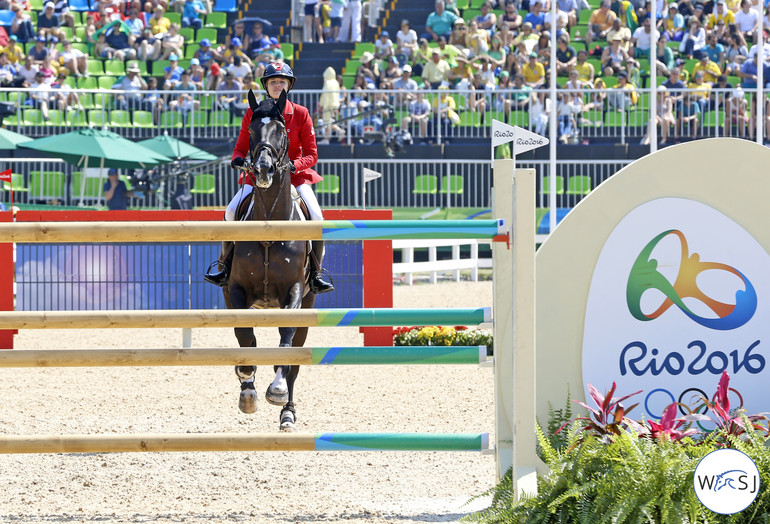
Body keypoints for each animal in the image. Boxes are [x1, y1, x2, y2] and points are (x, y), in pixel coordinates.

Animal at [222, 88, 316, 432]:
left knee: (294, 360)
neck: (268, 227)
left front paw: (275, 391)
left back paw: (287, 412)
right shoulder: (234, 291)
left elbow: (286, 342)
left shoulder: (295, 293)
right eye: (250, 130)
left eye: (282, 130)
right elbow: (245, 337)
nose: (262, 170)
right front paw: (247, 384)